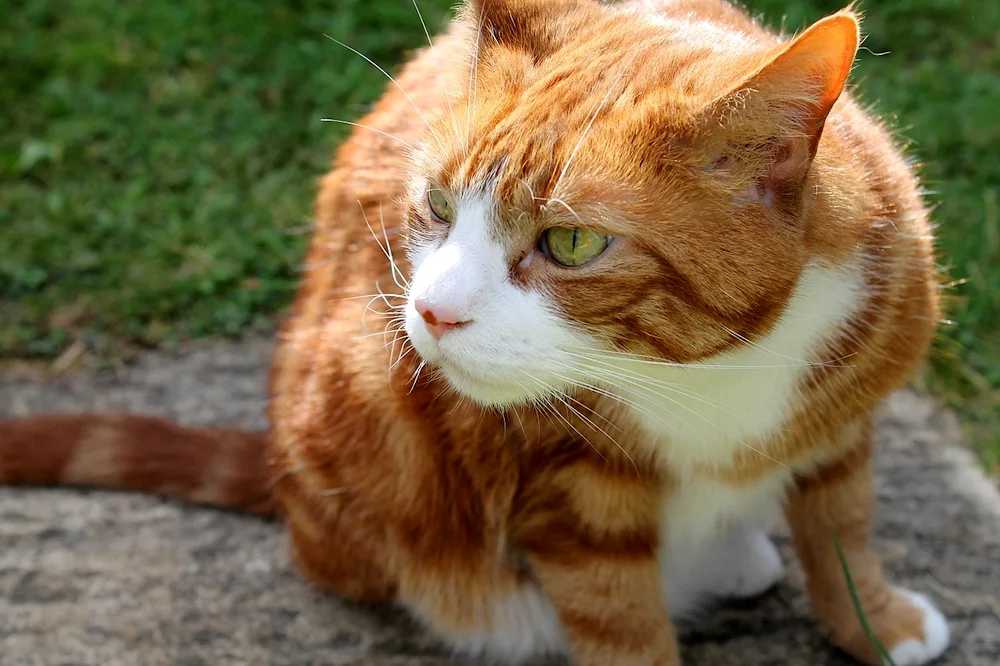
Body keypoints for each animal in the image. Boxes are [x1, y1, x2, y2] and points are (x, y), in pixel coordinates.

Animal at [1, 1, 952, 664]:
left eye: (572, 243)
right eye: (435, 204)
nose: (431, 311)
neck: (702, 369)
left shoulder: (844, 415)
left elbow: (842, 531)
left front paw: (877, 623)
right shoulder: (570, 497)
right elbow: (622, 621)